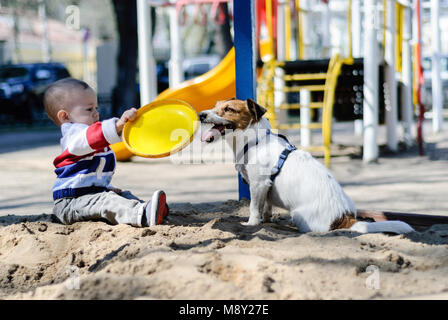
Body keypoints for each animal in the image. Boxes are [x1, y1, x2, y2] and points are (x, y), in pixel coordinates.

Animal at [198, 99, 414, 234]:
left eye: (229, 109)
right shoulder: (266, 188)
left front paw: (251, 224)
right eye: (215, 105)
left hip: (299, 215)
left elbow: (253, 208)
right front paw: (267, 221)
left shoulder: (258, 184)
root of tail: (344, 217)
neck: (256, 141)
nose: (201, 114)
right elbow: (266, 208)